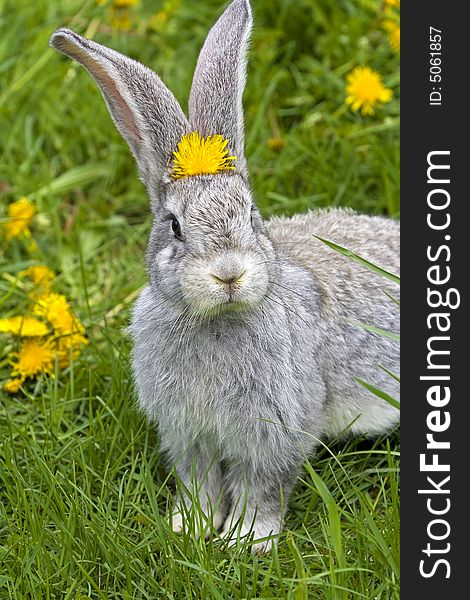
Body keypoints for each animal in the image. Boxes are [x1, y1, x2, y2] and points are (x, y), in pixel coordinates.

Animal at [49, 0, 398, 552]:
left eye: (251, 214)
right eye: (174, 225)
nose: (229, 273)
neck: (217, 322)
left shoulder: (276, 429)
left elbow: (262, 485)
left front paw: (246, 541)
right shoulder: (189, 434)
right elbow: (199, 482)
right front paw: (189, 528)